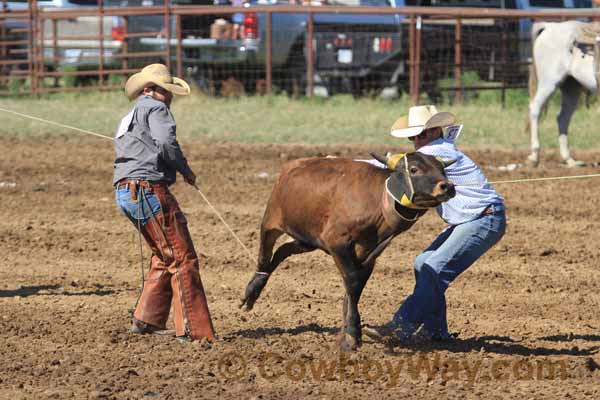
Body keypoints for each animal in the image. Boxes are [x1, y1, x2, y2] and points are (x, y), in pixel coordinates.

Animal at [524, 19, 596, 167]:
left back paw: (569, 160)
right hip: (549, 83)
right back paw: (534, 157)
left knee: (563, 118)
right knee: (535, 109)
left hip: (571, 88)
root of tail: (549, 26)